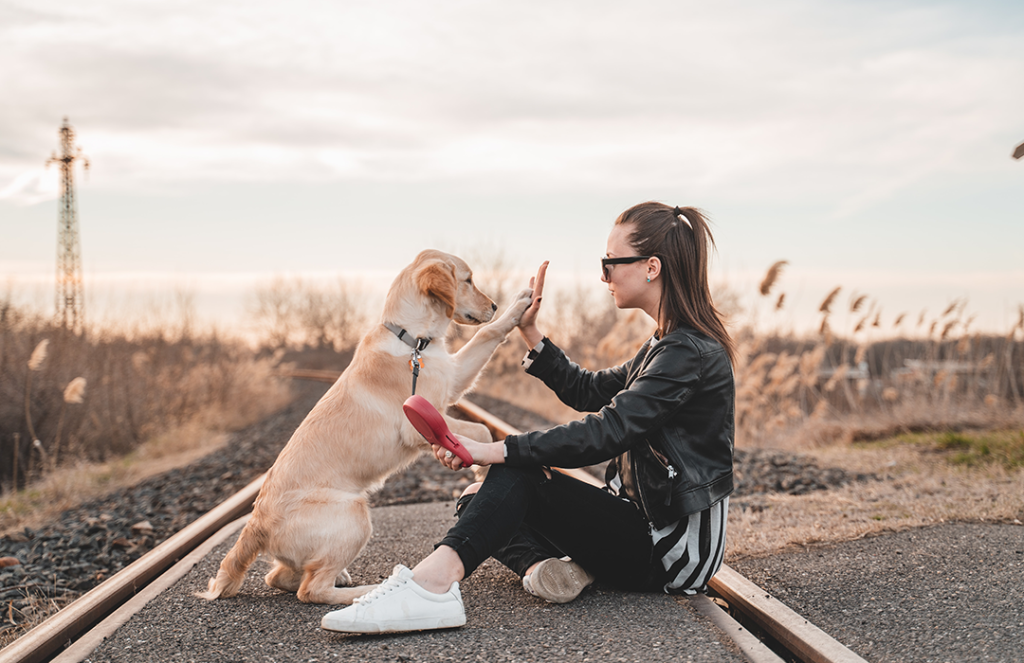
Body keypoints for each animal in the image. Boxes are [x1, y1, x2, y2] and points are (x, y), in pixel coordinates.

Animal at [200, 249, 536, 606]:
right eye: (468, 280)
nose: (495, 306)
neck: (412, 340)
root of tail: (256, 524)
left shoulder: (453, 377)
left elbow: (487, 335)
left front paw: (518, 305)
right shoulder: (418, 423)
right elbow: (481, 432)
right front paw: (482, 471)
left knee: (279, 577)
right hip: (354, 512)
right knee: (311, 589)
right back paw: (367, 590)